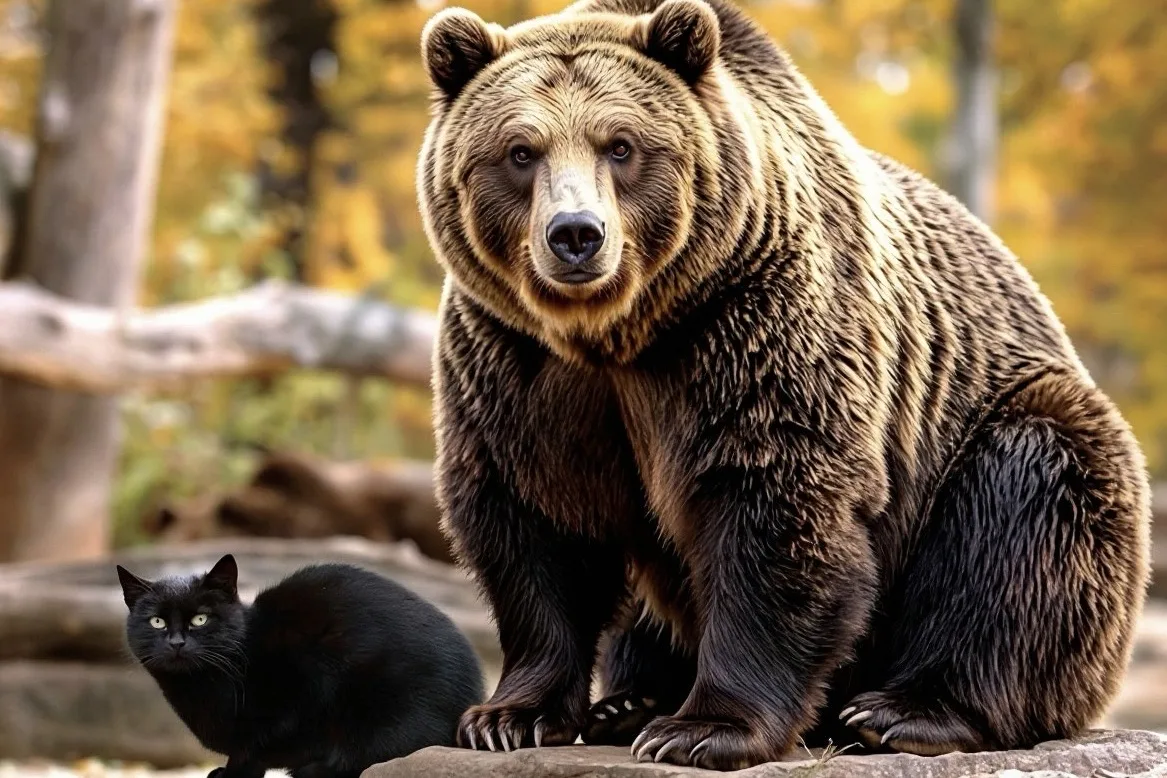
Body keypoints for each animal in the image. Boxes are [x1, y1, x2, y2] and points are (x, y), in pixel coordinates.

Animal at [416, 0, 1151, 769]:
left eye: (620, 145)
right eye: (519, 151)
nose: (576, 234)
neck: (620, 334)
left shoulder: (754, 325)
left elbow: (774, 502)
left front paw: (703, 728)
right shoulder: (512, 361)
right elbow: (532, 523)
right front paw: (511, 717)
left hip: (1014, 428)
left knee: (1025, 500)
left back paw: (904, 712)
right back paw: (630, 701)